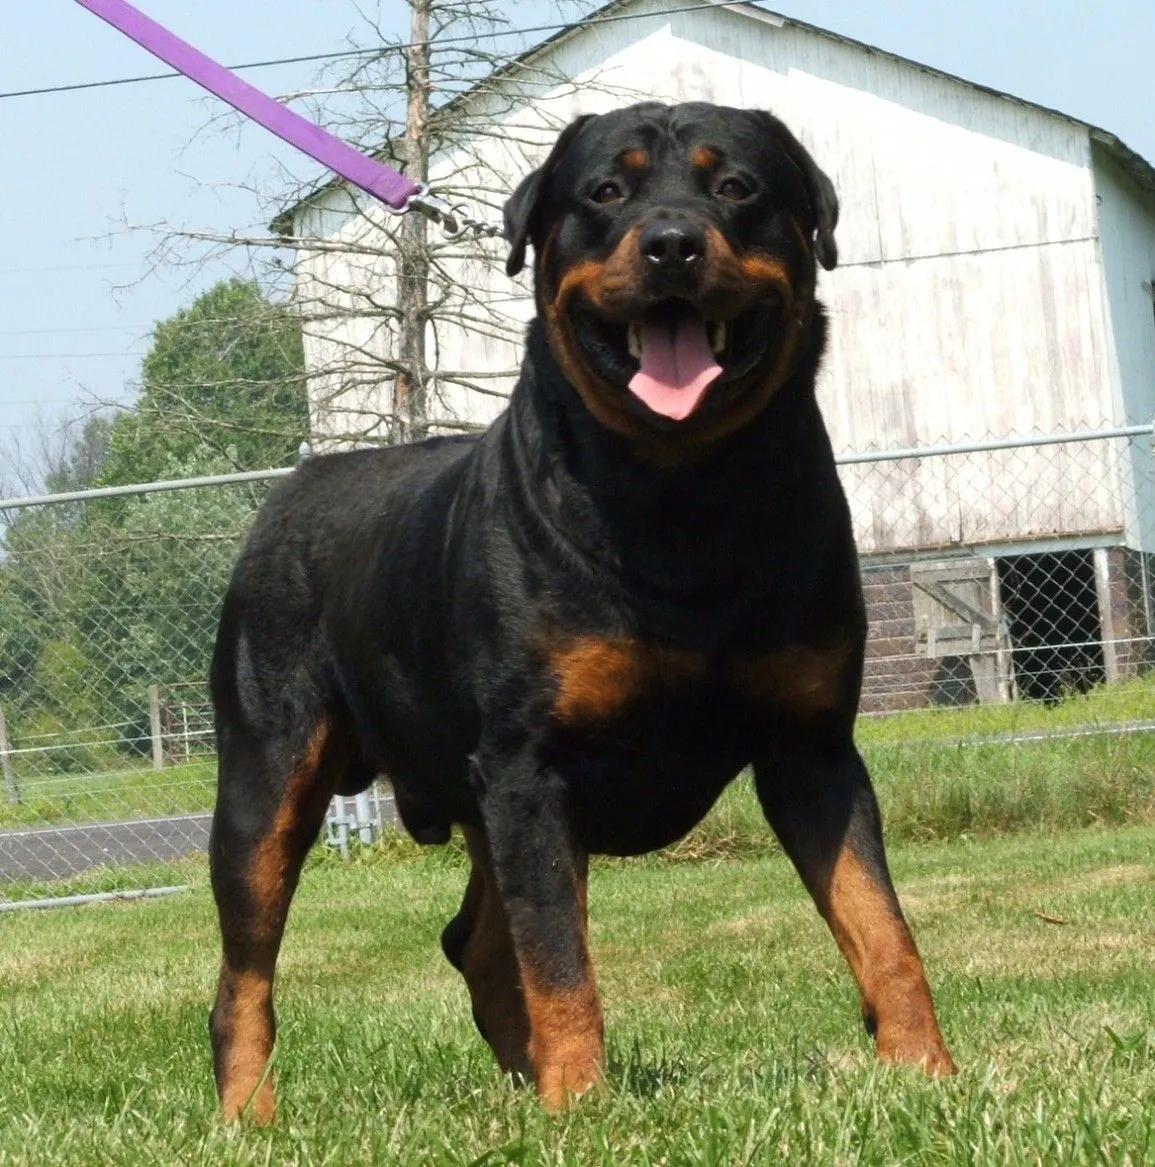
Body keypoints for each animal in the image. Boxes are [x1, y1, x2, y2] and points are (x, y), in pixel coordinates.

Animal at [210, 100, 956, 1120]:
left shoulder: (812, 748)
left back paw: (522, 1083)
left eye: (737, 187)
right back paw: (249, 1115)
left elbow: (881, 923)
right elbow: (561, 960)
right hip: (267, 775)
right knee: (245, 973)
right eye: (604, 190)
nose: (673, 243)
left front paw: (927, 1071)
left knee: (474, 944)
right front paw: (583, 1106)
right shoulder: (531, 766)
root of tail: (290, 489)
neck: (682, 493)